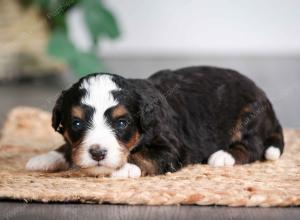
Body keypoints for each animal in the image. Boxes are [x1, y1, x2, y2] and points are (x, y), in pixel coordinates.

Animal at [25, 66, 284, 178]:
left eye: (121, 123)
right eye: (77, 123)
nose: (98, 153)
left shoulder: (172, 147)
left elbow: (145, 155)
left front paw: (125, 168)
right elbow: (70, 146)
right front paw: (47, 157)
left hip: (249, 116)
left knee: (253, 147)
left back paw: (222, 156)